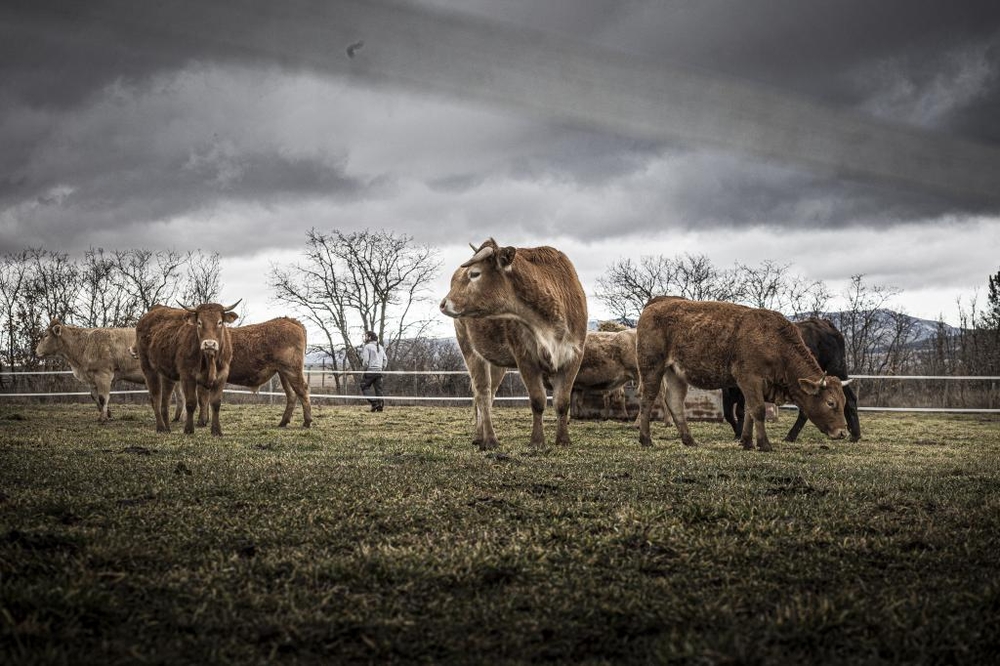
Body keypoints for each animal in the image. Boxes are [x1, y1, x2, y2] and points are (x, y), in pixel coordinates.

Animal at [34, 318, 182, 420]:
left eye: (45, 335)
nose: (36, 351)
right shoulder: (91, 378)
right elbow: (94, 397)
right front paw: (107, 414)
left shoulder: (103, 374)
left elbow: (103, 397)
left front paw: (103, 418)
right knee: (180, 397)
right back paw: (176, 418)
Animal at [438, 236, 584, 448]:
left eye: (475, 273)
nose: (443, 303)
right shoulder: (525, 358)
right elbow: (538, 400)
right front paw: (537, 441)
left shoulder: (574, 356)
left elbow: (562, 402)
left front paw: (563, 440)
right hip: (471, 351)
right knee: (483, 393)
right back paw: (490, 439)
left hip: (496, 362)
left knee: (487, 395)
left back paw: (480, 436)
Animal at [636, 296, 848, 448]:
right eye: (830, 402)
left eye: (843, 401)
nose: (842, 432)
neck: (774, 341)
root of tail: (657, 303)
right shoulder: (749, 379)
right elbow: (758, 410)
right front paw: (764, 444)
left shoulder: (752, 386)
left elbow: (749, 412)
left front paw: (746, 441)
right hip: (652, 367)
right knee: (648, 398)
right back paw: (645, 439)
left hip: (675, 373)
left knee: (674, 401)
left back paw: (689, 440)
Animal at [724, 316, 864, 440]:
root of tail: (826, 324)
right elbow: (728, 413)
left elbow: (739, 411)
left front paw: (738, 434)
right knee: (849, 399)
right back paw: (854, 434)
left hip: (834, 371)